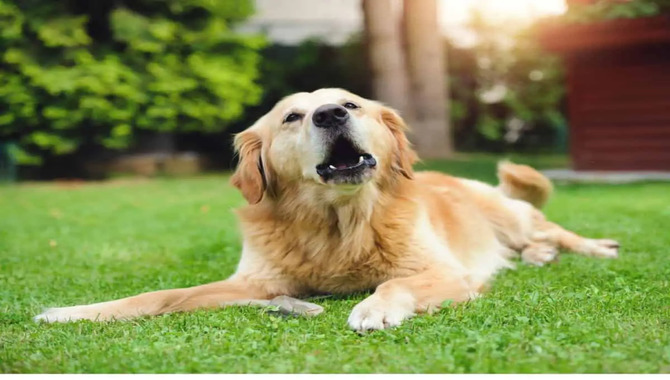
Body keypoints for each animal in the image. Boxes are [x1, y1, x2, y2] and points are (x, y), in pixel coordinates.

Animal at [34, 88, 624, 330]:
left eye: (352, 103)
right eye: (292, 117)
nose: (331, 113)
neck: (336, 223)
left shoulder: (444, 272)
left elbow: (396, 283)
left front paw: (375, 308)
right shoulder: (256, 285)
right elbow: (158, 297)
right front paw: (76, 312)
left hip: (508, 213)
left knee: (552, 230)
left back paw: (593, 247)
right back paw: (540, 257)